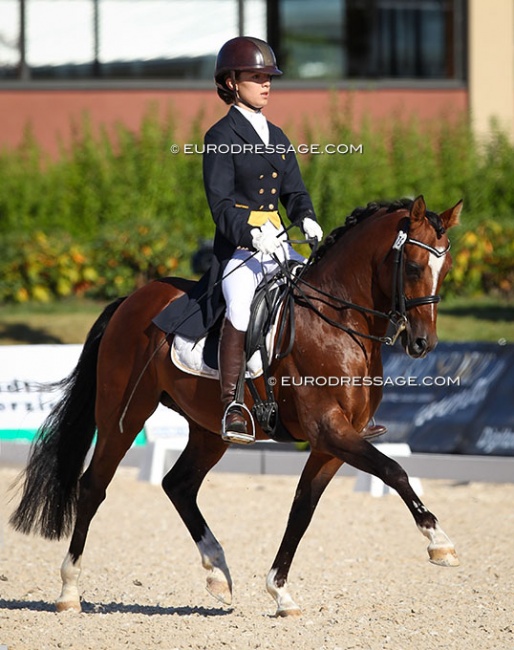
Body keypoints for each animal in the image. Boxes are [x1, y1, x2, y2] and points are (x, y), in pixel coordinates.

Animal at [11, 192, 460, 612]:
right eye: (414, 267)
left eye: (447, 268)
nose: (423, 343)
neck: (339, 321)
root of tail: (131, 300)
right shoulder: (329, 429)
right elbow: (394, 470)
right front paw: (439, 541)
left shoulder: (331, 443)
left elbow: (302, 508)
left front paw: (280, 591)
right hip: (124, 416)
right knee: (93, 486)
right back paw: (69, 591)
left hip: (210, 430)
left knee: (178, 484)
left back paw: (218, 572)